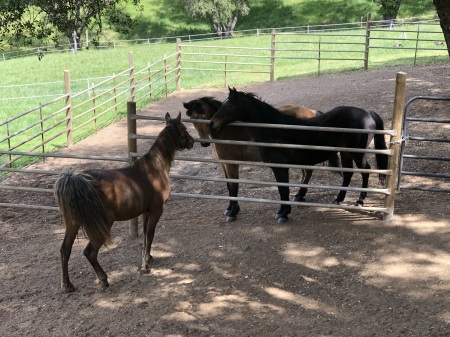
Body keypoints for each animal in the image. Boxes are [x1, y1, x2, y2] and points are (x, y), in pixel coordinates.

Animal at [53, 113, 194, 292]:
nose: (192, 141)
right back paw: (103, 279)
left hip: (73, 223)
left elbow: (146, 235)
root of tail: (77, 180)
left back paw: (67, 284)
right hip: (103, 225)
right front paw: (145, 266)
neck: (154, 168)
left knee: (65, 250)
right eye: (184, 128)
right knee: (90, 252)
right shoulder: (157, 210)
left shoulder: (146, 212)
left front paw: (148, 258)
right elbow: (150, 234)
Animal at [183, 96, 338, 222]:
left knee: (307, 172)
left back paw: (299, 195)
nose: (204, 143)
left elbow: (234, 187)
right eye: (192, 119)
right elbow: (228, 186)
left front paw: (233, 213)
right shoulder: (224, 164)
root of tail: (312, 112)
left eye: (203, 115)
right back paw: (299, 196)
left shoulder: (232, 164)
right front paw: (229, 209)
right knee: (306, 172)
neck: (228, 130)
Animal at [209, 88, 388, 222]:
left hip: (357, 154)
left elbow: (283, 190)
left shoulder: (280, 168)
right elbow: (282, 190)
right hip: (346, 153)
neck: (274, 130)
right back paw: (338, 199)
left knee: (365, 171)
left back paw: (360, 200)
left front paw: (283, 214)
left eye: (230, 106)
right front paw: (283, 211)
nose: (212, 124)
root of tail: (367, 113)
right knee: (348, 174)